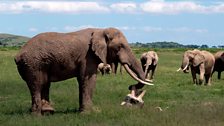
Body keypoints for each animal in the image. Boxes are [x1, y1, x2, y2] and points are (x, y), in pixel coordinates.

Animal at [14, 27, 152, 115]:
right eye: (120, 47)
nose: (130, 86)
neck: (100, 30)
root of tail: (18, 55)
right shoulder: (88, 56)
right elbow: (88, 79)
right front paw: (91, 113)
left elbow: (83, 81)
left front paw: (85, 111)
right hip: (33, 64)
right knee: (37, 85)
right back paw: (37, 115)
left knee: (45, 84)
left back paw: (48, 112)